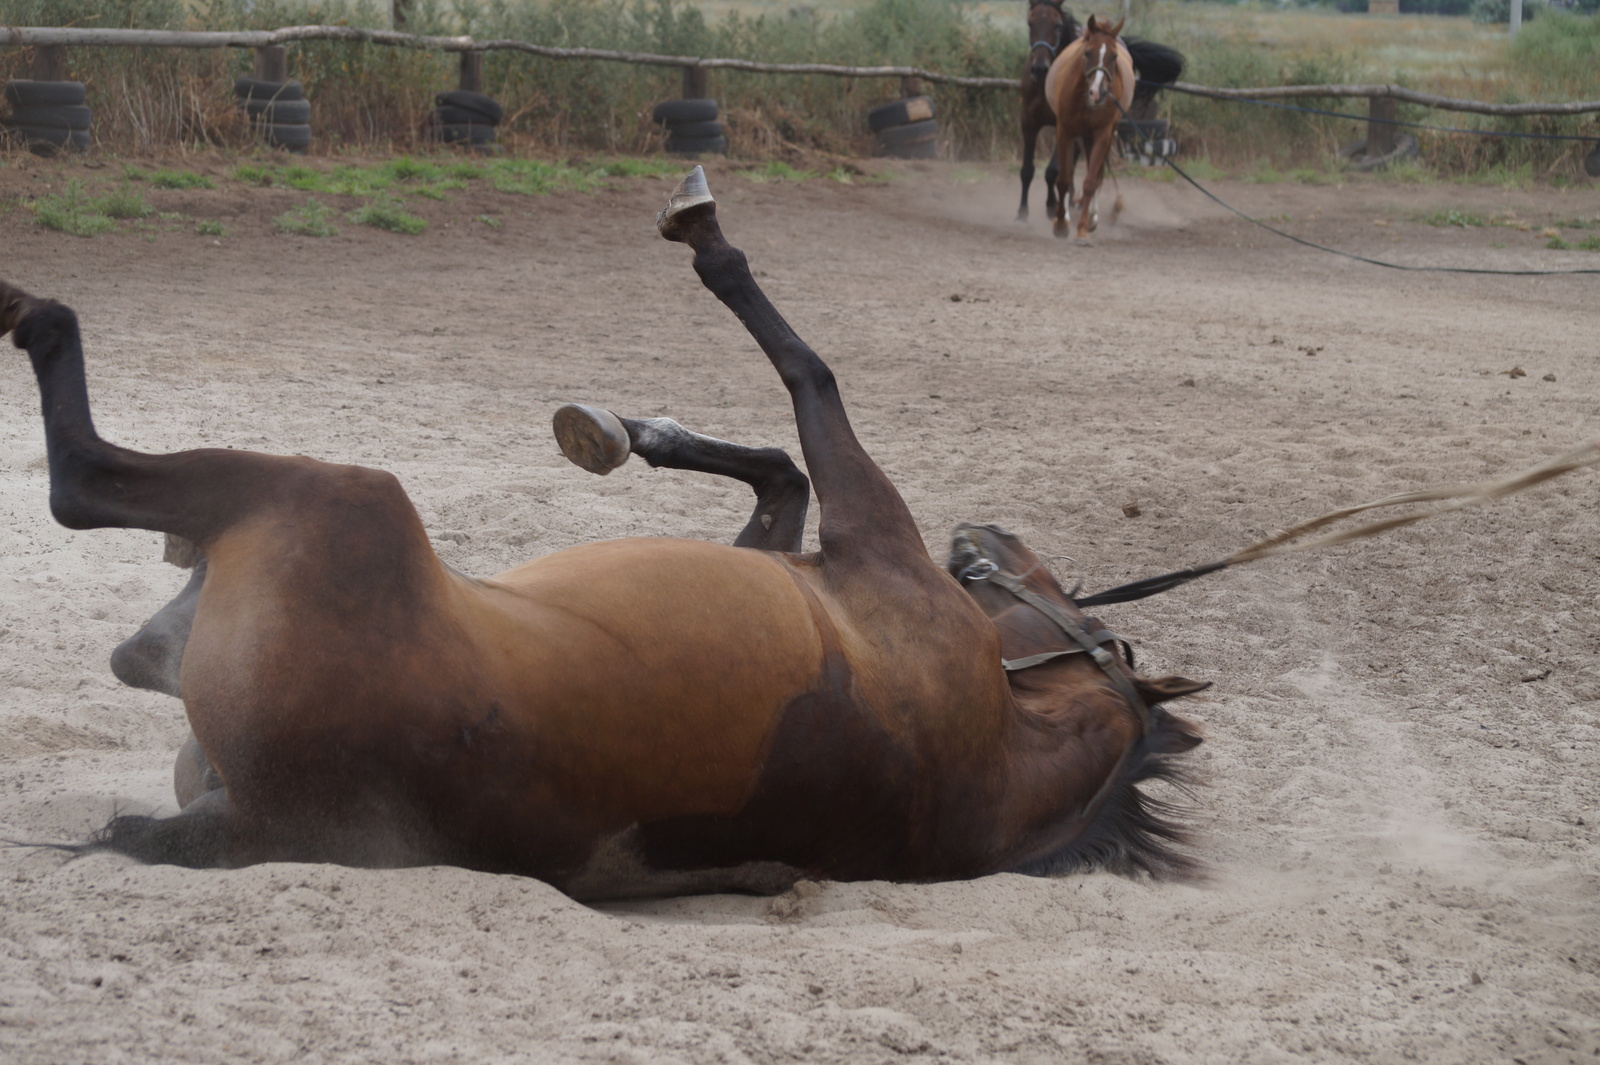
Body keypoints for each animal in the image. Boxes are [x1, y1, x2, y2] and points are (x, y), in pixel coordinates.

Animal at [0, 167, 1203, 895]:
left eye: (1045, 574)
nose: (982, 531)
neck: (993, 755)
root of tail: (257, 816)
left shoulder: (875, 532)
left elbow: (809, 375)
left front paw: (707, 243)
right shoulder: (799, 552)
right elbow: (778, 468)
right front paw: (627, 431)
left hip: (336, 492)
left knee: (84, 481)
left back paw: (27, 311)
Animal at [1017, 0, 1184, 222]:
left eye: (1058, 25)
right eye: (1030, 23)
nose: (1039, 68)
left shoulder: (1066, 126)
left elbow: (1052, 171)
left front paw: (1052, 206)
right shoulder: (1029, 123)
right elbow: (1027, 170)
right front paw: (1022, 212)